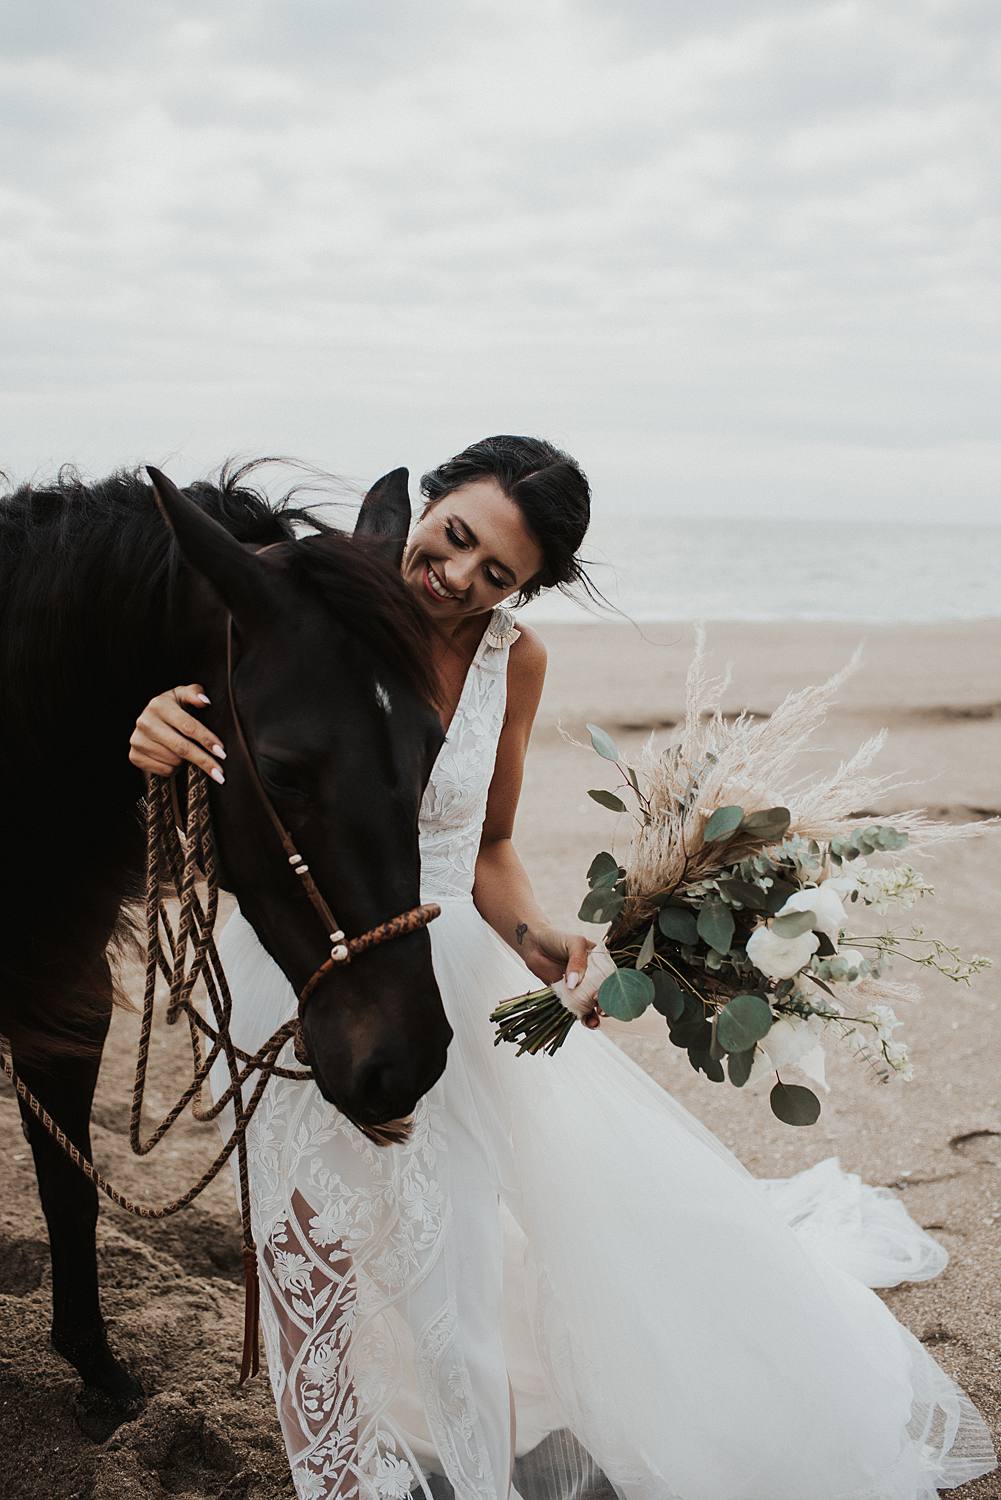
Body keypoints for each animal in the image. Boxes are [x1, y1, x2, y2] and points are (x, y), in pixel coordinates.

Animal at [0, 462, 450, 1422]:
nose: (407, 1059)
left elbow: (69, 1190)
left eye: (431, 745)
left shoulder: (66, 998)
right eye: (280, 770)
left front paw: (97, 1370)